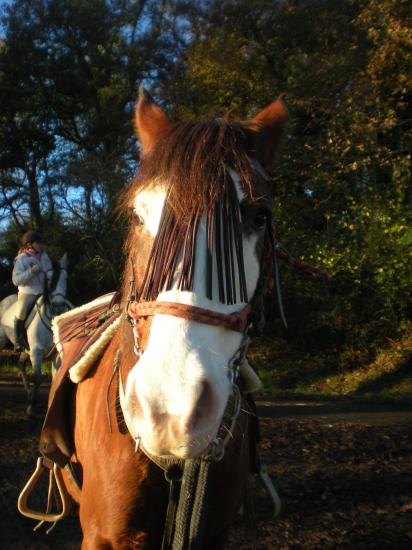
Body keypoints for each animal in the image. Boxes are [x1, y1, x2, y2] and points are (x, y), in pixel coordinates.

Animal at [0, 254, 71, 414]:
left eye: (66, 278)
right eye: (48, 279)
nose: (58, 305)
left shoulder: (55, 354)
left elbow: (55, 377)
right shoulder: (36, 351)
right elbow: (37, 378)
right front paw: (31, 407)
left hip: (26, 349)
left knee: (20, 364)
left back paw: (28, 393)